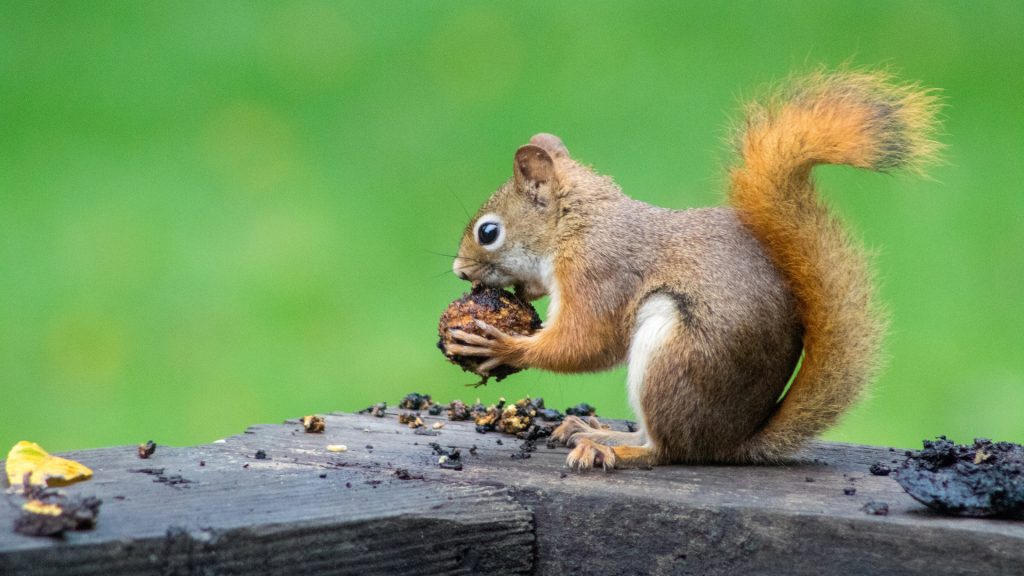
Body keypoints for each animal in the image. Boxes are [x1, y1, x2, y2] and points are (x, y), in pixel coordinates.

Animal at [447, 71, 940, 470]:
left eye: (488, 232)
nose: (458, 270)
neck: (577, 225)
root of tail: (730, 442)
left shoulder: (600, 272)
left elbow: (587, 342)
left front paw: (504, 345)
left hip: (672, 354)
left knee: (666, 450)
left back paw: (612, 448)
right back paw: (592, 430)